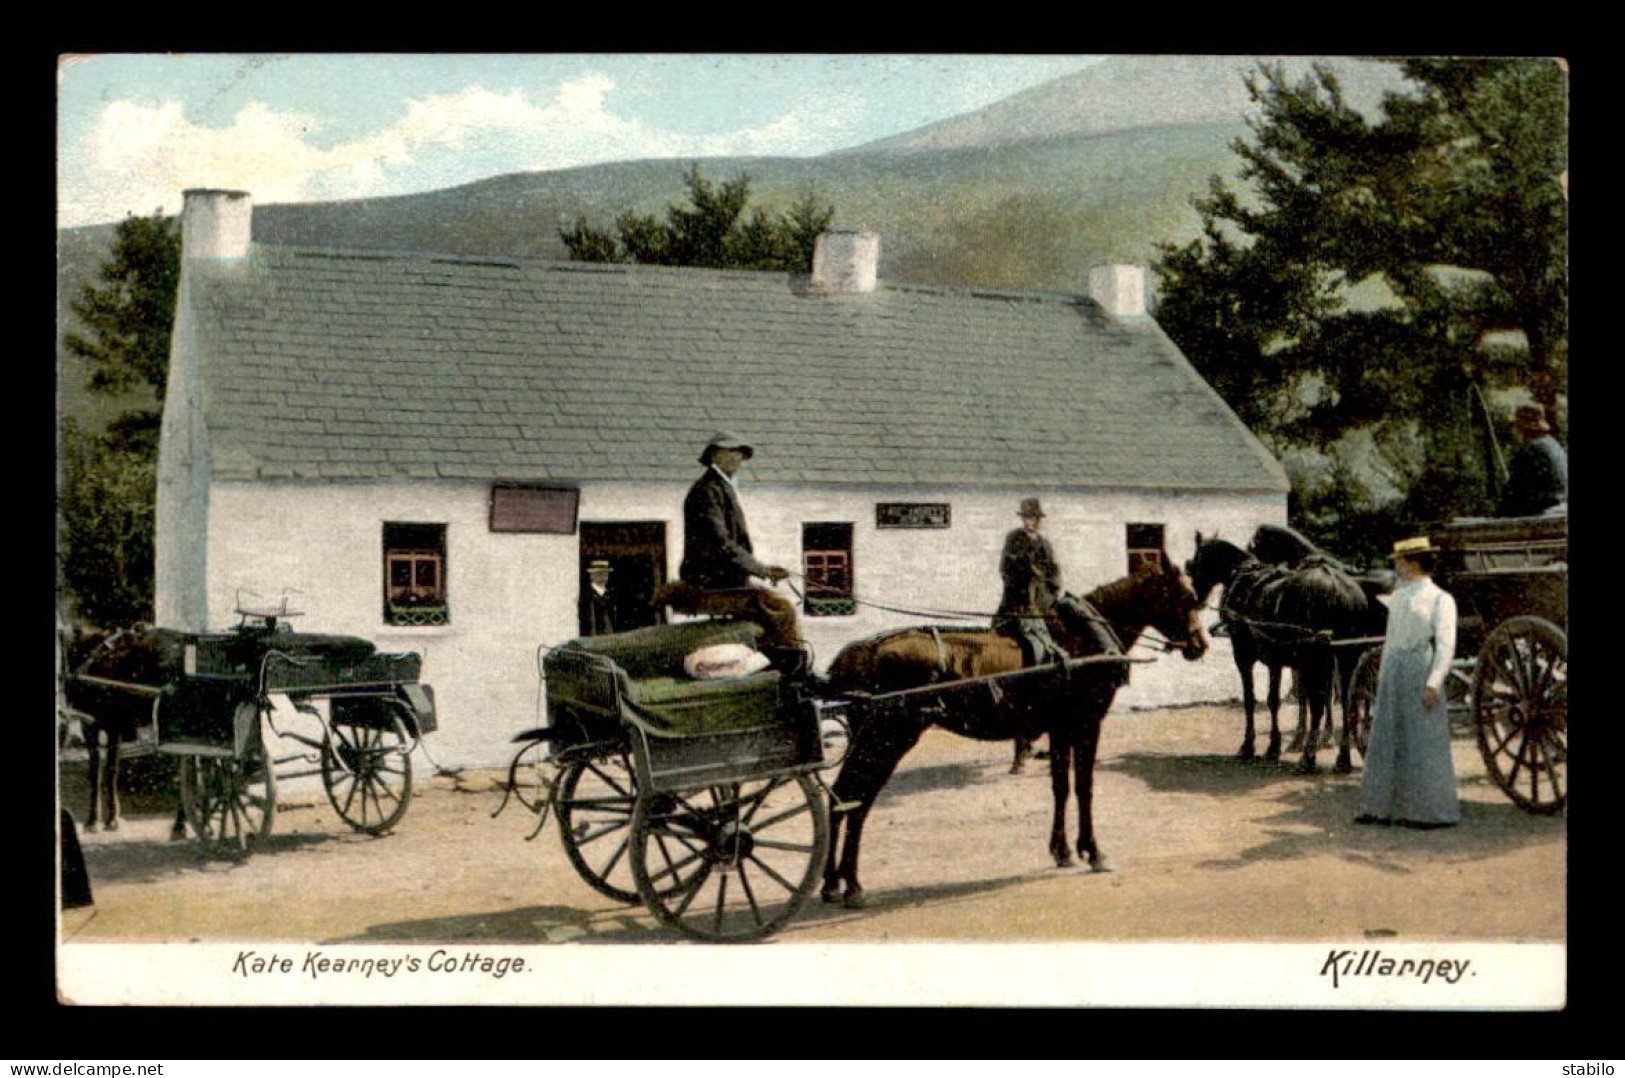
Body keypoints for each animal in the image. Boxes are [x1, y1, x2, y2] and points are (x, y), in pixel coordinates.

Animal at [819, 556, 1215, 910]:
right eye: (1185, 598)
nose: (1200, 645)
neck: (1081, 640)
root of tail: (861, 653)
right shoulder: (1087, 724)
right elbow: (1084, 788)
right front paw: (1093, 851)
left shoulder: (1061, 729)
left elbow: (1061, 787)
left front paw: (1062, 851)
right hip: (886, 738)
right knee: (857, 800)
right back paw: (852, 885)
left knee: (841, 795)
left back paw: (831, 883)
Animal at [1183, 533, 1384, 770]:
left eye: (1196, 562)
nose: (1195, 600)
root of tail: (1338, 586)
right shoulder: (1275, 659)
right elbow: (1273, 700)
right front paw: (1273, 747)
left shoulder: (1243, 656)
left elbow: (1251, 699)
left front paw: (1249, 746)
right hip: (1344, 656)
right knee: (1345, 702)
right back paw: (1342, 758)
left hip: (1316, 656)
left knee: (1320, 702)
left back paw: (1308, 756)